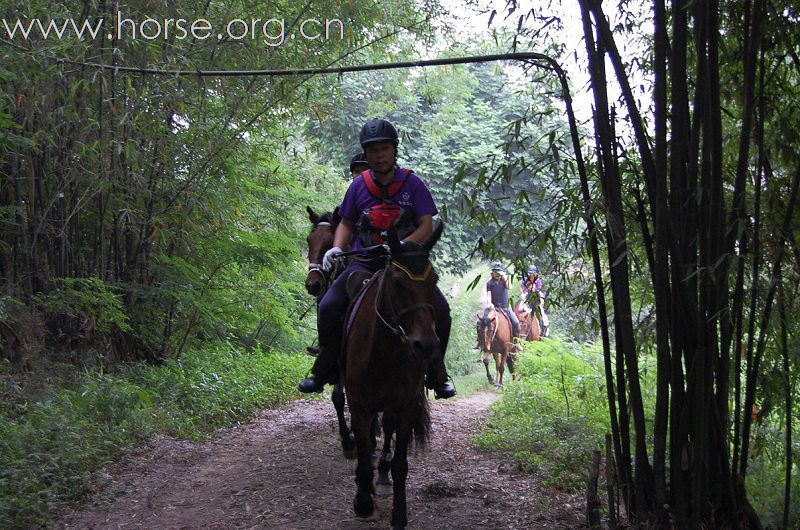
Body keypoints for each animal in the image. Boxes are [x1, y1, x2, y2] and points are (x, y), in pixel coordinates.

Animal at [344, 222, 444, 524]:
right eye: (398, 282)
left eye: (434, 281)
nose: (426, 345)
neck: (384, 351)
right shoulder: (359, 405)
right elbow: (364, 455)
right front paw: (364, 503)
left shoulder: (407, 405)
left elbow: (401, 463)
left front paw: (399, 513)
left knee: (387, 429)